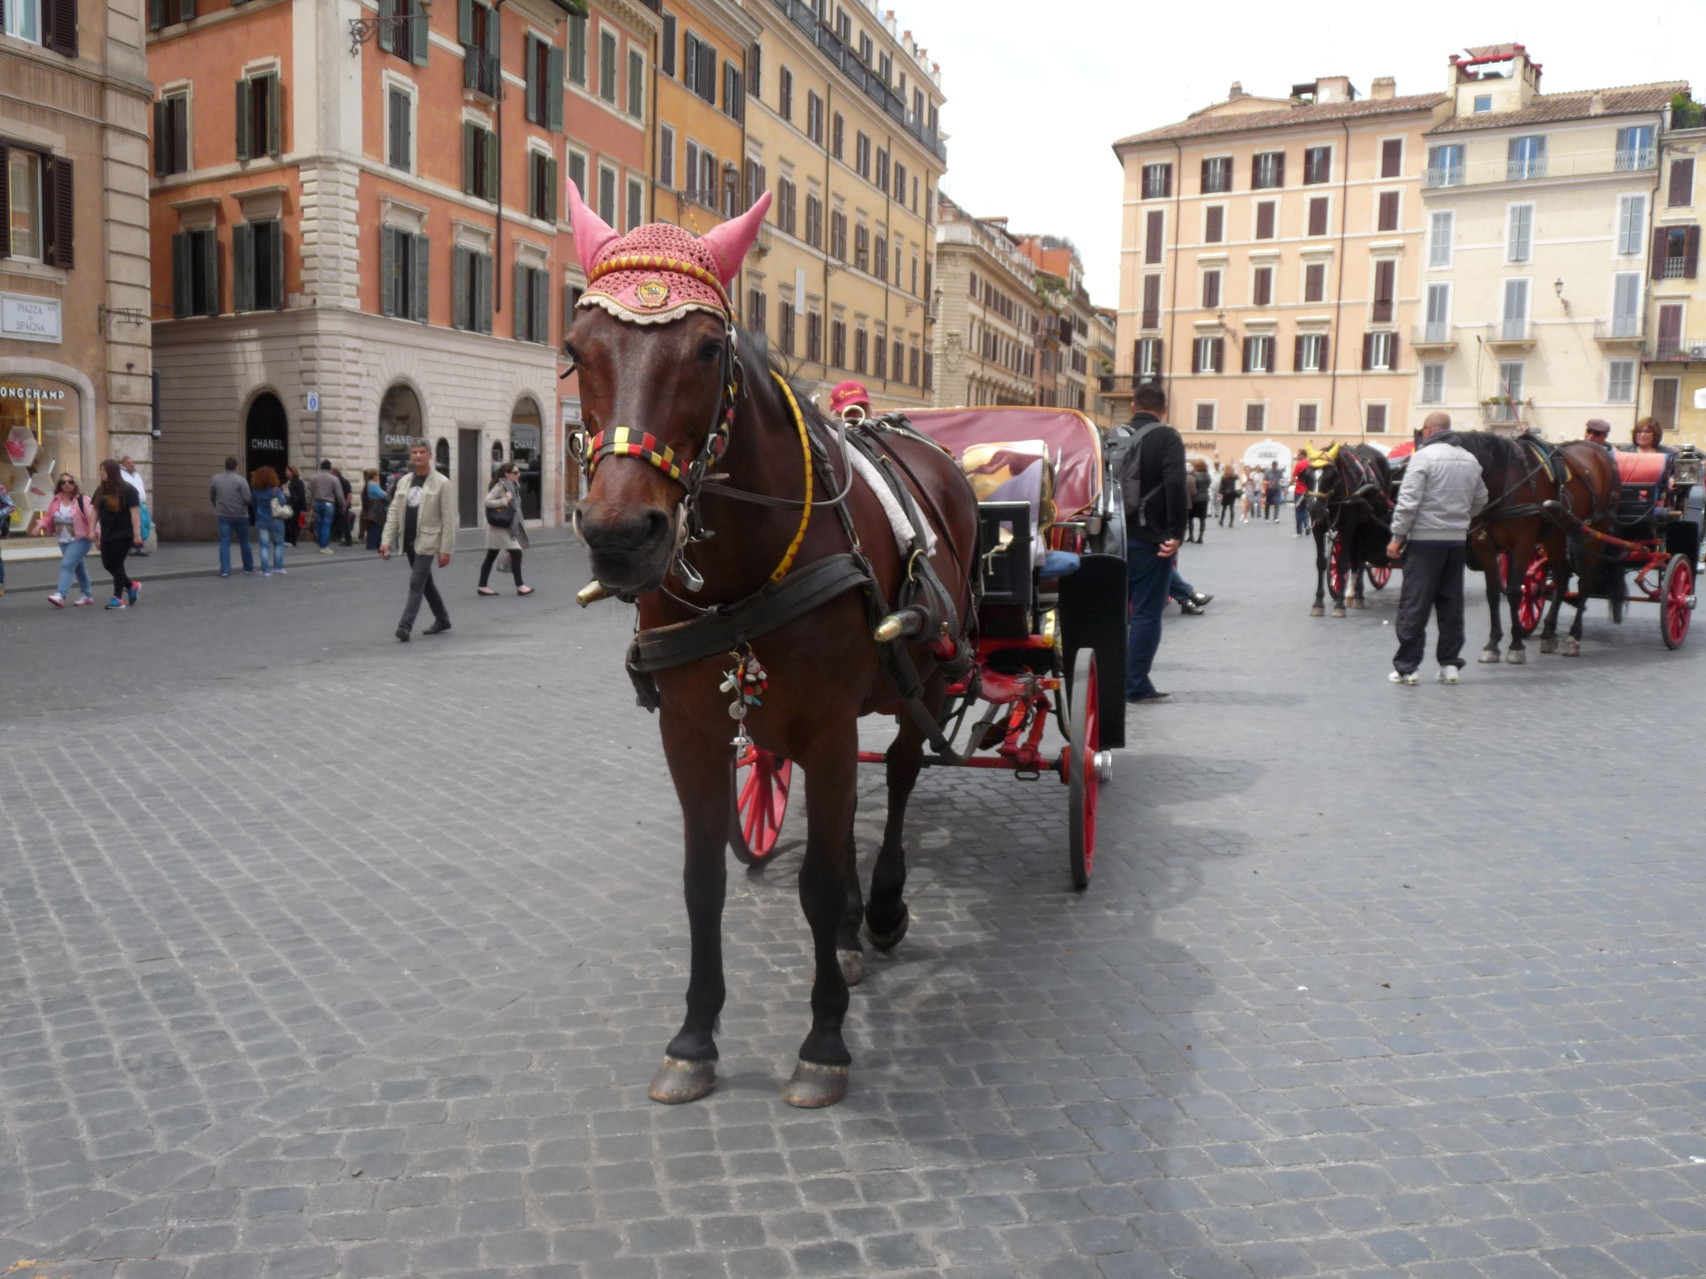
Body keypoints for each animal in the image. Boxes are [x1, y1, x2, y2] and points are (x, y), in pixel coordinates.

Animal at [569, 187, 982, 1111]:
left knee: (900, 774)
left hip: (924, 679)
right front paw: (694, 1035)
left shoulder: (826, 727)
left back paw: (883, 908)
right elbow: (705, 881)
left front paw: (824, 1041)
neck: (742, 568)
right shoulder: (689, 731)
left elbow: (819, 881)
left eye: (708, 347)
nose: (620, 534)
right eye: (576, 350)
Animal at [1303, 443, 1398, 617]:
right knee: (1357, 558)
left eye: (1331, 476)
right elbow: (1321, 562)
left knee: (1360, 560)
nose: (1314, 509)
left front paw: (1339, 605)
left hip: (1364, 525)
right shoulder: (1318, 528)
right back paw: (1352, 594)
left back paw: (1357, 595)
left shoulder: (1348, 527)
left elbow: (1342, 563)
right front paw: (1318, 603)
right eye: (1306, 475)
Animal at [1460, 436, 1617, 665]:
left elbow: (1515, 592)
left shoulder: (1522, 546)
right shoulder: (1484, 548)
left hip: (1594, 531)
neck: (1504, 482)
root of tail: (1599, 449)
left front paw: (1516, 645)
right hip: (1555, 535)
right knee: (1562, 576)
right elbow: (1493, 594)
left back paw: (1573, 637)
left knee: (1585, 582)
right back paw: (1549, 633)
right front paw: (1493, 644)